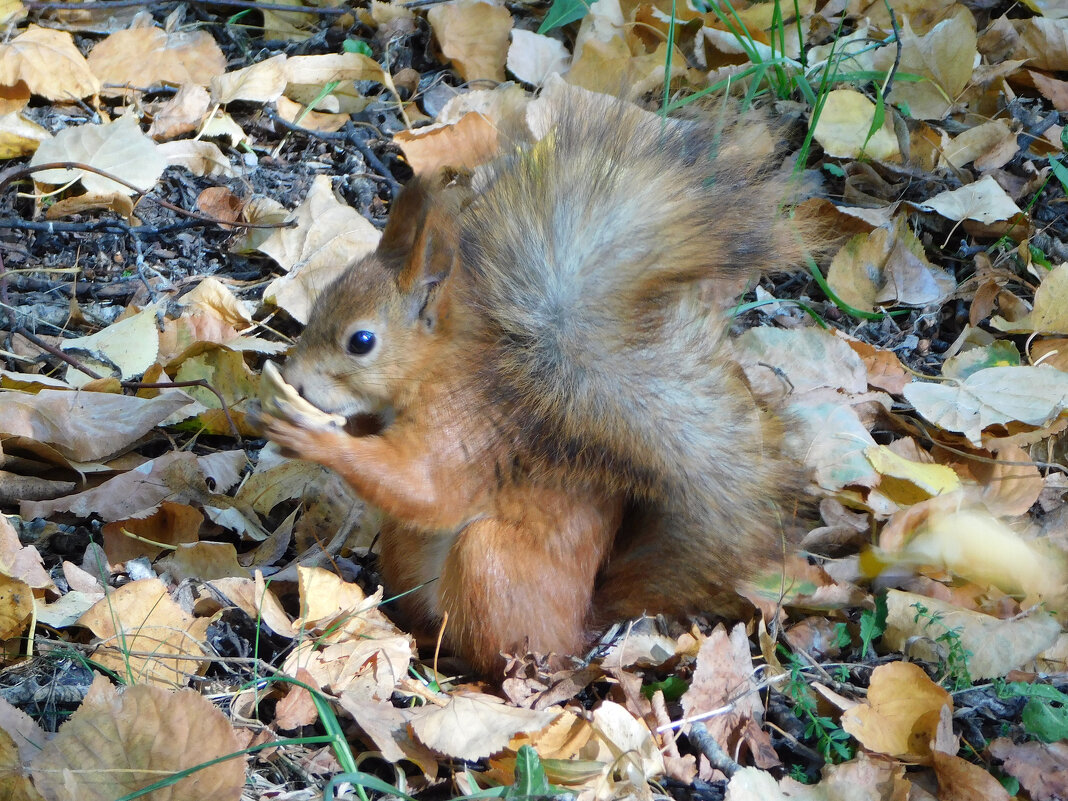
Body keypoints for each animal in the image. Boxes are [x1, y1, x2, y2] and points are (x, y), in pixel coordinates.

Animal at [258, 89, 807, 679]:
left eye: (360, 341)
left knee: (495, 653)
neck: (434, 371)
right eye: (321, 300)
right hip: (406, 550)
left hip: (488, 563)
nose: (295, 379)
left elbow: (423, 486)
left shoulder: (465, 428)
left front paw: (312, 438)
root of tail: (577, 634)